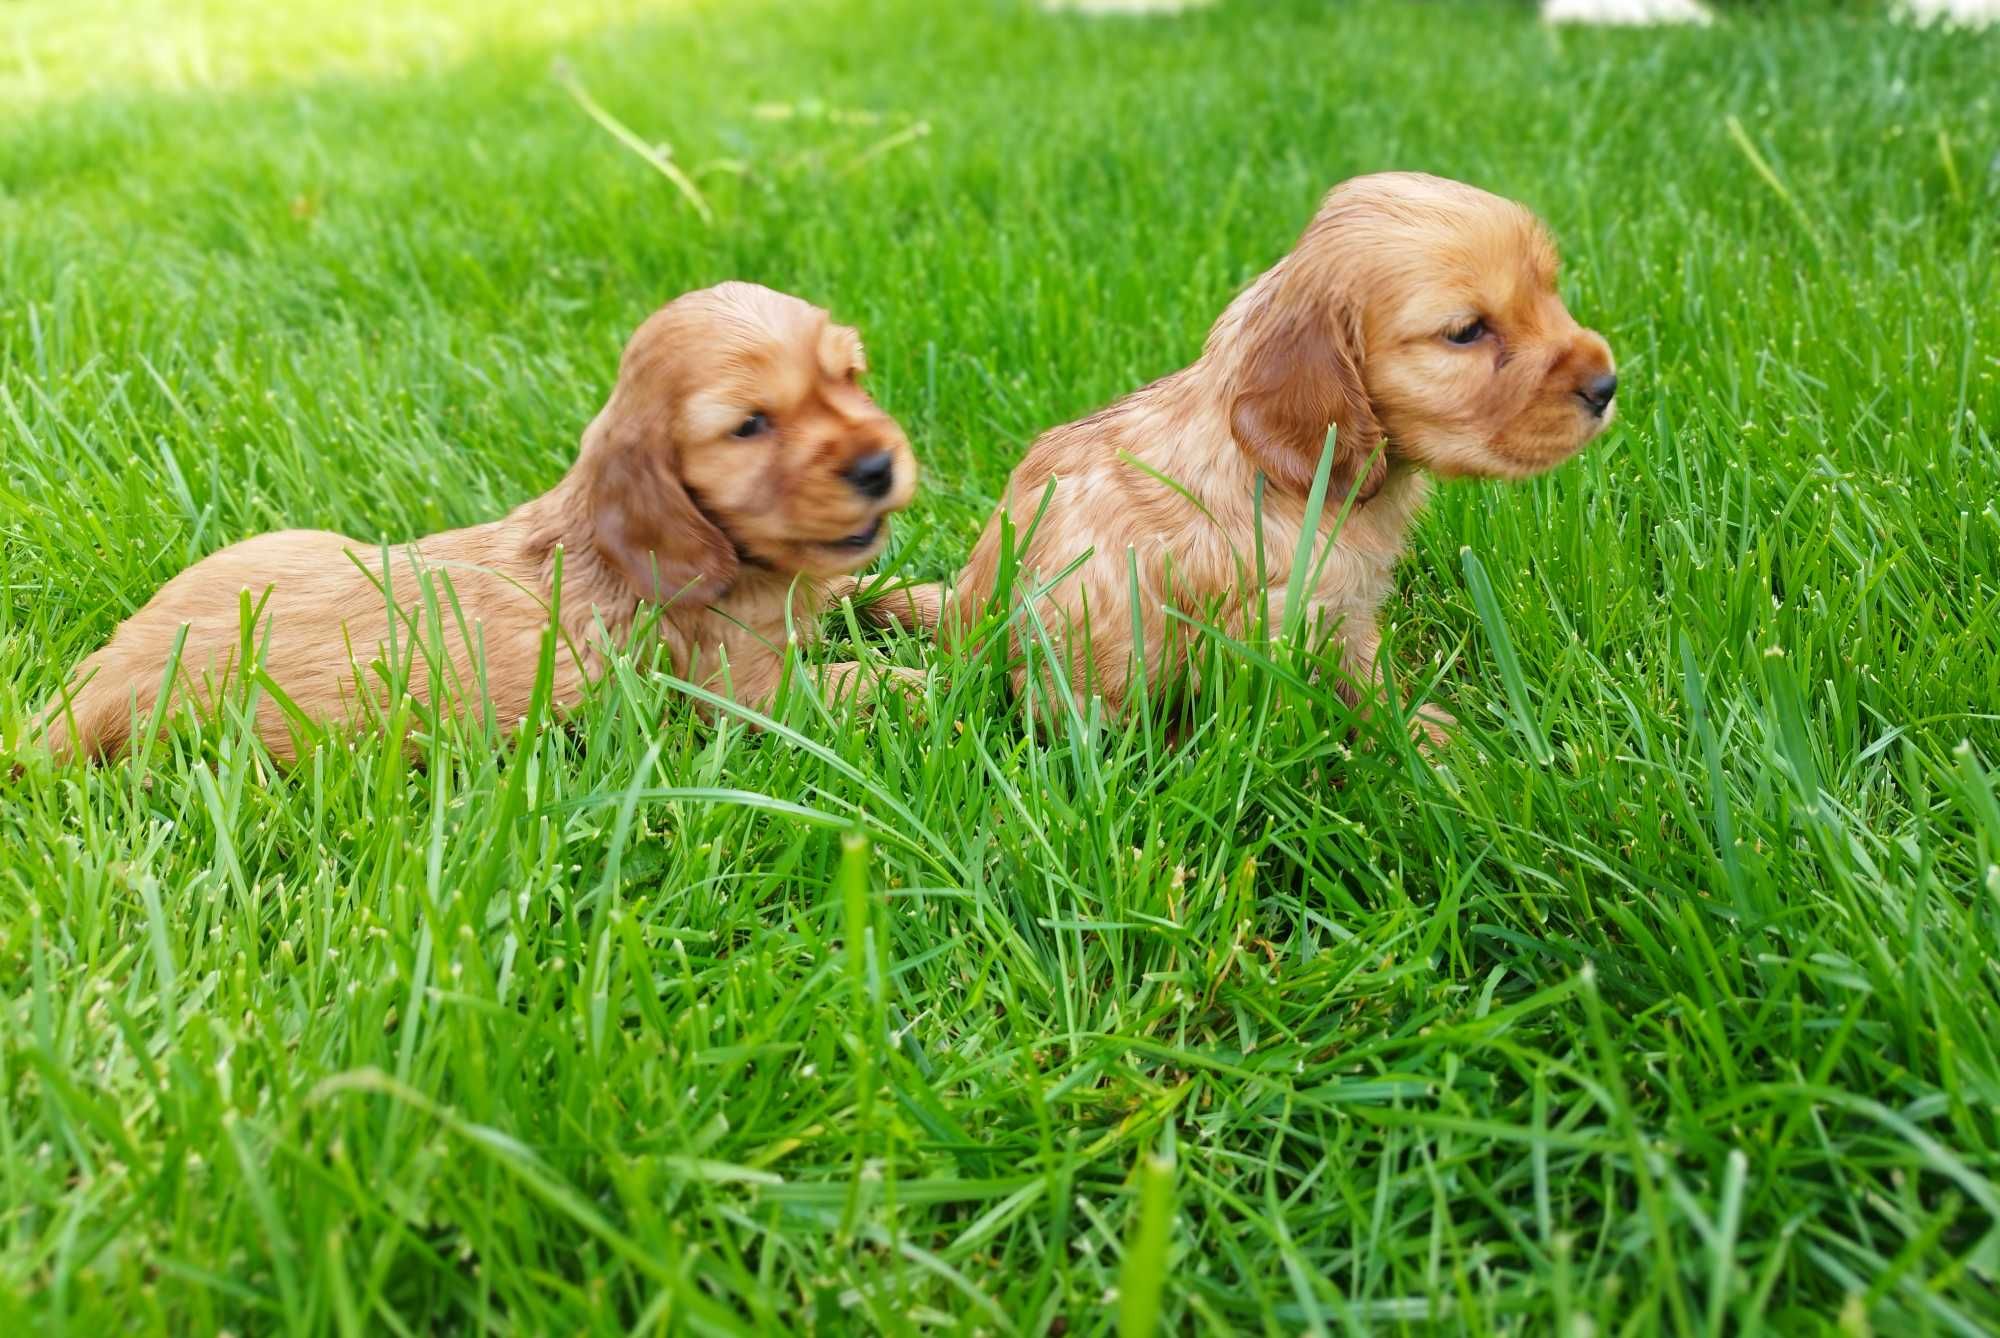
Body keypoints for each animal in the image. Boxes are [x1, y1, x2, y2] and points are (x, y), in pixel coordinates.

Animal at [45, 282, 920, 760]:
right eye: (750, 426)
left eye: (850, 376)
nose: (877, 467)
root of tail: (103, 674)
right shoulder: (743, 692)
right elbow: (849, 683)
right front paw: (931, 681)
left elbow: (869, 585)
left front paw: (921, 606)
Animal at [872, 171, 1608, 736]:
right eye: (1465, 332)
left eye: (1550, 291)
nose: (1607, 385)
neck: (1284, 475)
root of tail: (961, 627)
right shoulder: (1275, 626)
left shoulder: (1349, 614)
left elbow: (1375, 680)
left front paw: (1437, 740)